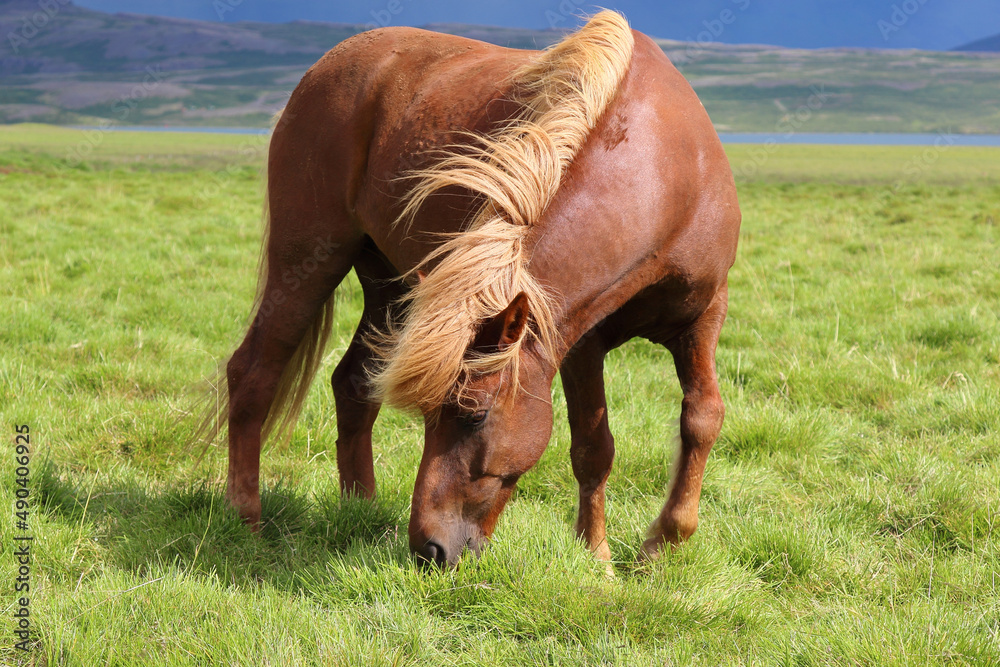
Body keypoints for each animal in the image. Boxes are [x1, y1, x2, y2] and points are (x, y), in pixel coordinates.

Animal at [203, 10, 740, 567]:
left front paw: (661, 542)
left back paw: (361, 510)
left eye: (473, 414)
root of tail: (325, 66)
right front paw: (598, 557)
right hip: (308, 259)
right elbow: (594, 448)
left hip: (390, 289)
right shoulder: (579, 342)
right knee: (253, 372)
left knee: (353, 384)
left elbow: (702, 417)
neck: (667, 174)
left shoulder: (704, 317)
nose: (429, 548)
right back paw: (245, 517)